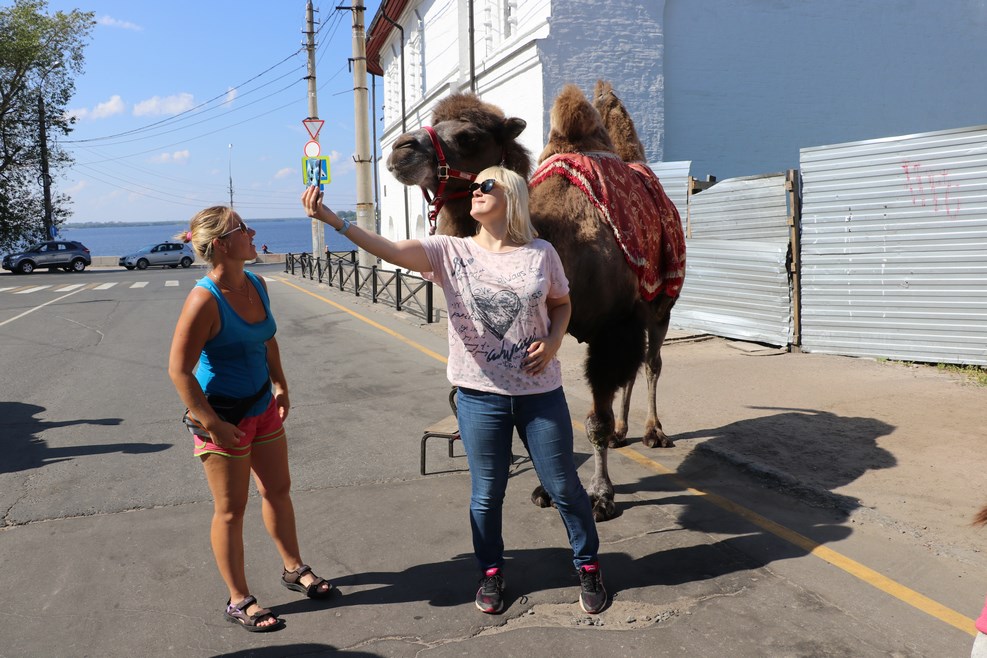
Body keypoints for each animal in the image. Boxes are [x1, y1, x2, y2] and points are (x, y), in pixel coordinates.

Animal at [386, 81, 685, 521]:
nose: (400, 148)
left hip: (662, 304)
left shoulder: (612, 327)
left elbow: (595, 418)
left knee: (651, 364)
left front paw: (600, 495)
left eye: (469, 136)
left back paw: (653, 432)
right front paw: (548, 489)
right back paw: (622, 433)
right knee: (633, 371)